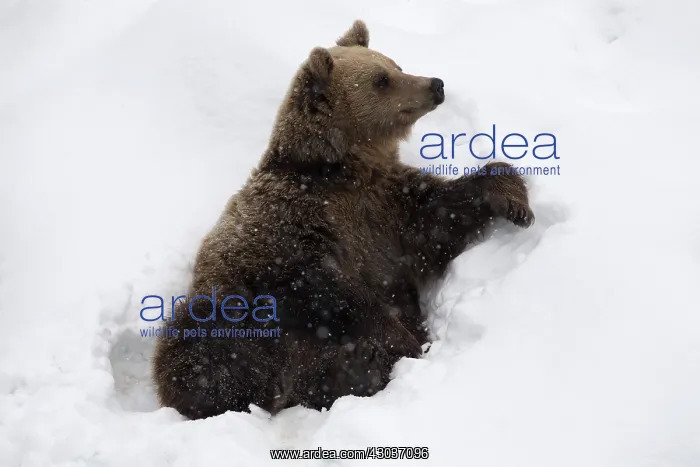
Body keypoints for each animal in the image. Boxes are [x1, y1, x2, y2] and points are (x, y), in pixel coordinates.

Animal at [152, 20, 534, 420]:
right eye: (381, 80)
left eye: (395, 65)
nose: (435, 84)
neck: (342, 170)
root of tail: (282, 390)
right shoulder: (292, 227)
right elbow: (336, 293)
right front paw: (403, 341)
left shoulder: (387, 208)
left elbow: (438, 218)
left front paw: (515, 202)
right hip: (230, 308)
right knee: (204, 350)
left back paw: (356, 369)